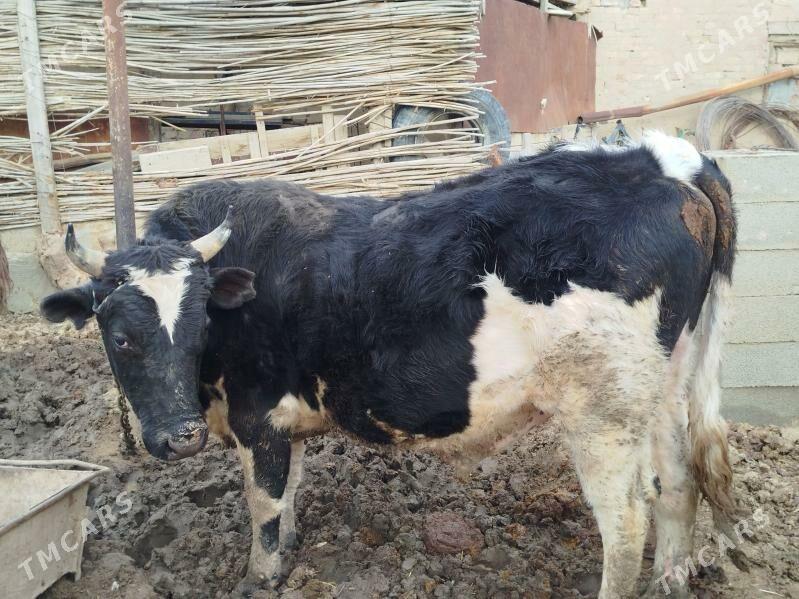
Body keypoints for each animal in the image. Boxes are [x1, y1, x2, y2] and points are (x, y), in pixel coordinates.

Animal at [41, 132, 738, 598]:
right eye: (120, 337)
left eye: (197, 324)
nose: (180, 438)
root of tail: (660, 158)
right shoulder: (284, 425)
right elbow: (286, 499)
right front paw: (287, 555)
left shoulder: (256, 420)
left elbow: (263, 508)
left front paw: (259, 578)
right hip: (661, 385)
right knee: (679, 484)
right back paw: (671, 581)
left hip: (602, 413)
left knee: (627, 523)